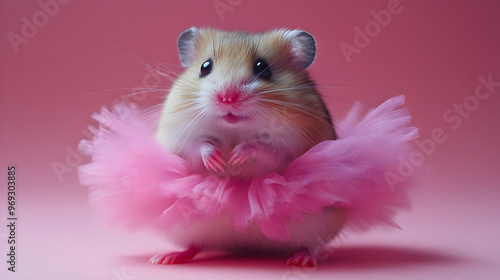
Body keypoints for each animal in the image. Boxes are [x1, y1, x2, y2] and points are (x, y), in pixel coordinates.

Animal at [151, 27, 344, 266]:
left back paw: (301, 260)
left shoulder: (290, 144)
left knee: (312, 246)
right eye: (205, 67)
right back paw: (165, 258)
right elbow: (199, 145)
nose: (227, 98)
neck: (235, 128)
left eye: (263, 68)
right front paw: (218, 161)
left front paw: (235, 157)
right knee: (194, 245)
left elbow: (263, 147)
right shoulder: (179, 135)